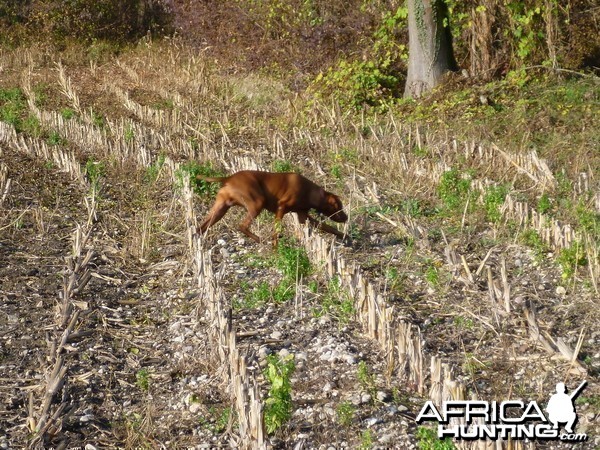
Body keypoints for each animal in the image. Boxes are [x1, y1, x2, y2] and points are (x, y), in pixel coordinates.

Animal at [197, 171, 346, 243]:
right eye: (339, 206)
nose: (346, 217)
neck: (310, 191)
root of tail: (228, 178)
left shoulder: (303, 216)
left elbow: (327, 227)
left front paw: (345, 236)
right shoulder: (281, 208)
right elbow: (276, 232)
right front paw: (276, 248)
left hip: (220, 209)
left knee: (200, 227)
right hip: (257, 203)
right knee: (242, 226)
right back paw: (260, 240)